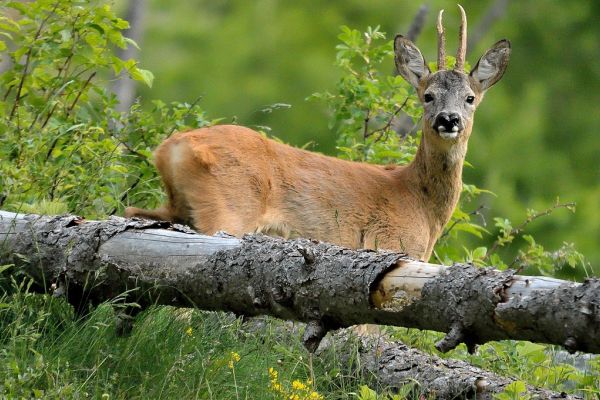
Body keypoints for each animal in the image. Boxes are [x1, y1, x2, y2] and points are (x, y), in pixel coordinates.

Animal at [125, 7, 510, 262]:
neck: (421, 203)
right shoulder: (389, 246)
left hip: (174, 207)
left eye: (470, 98)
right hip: (227, 210)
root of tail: (171, 147)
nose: (448, 119)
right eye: (427, 96)